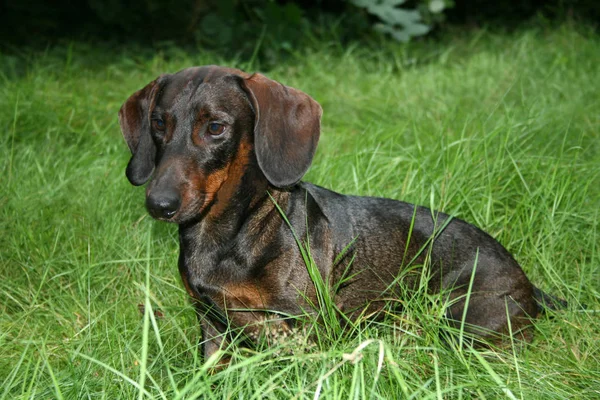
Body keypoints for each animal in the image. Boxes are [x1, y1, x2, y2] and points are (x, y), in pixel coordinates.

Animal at [119, 65, 560, 362]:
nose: (159, 204)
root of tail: (527, 283)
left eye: (215, 127)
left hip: (460, 321)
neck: (229, 234)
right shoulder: (210, 322)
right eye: (158, 123)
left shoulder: (298, 326)